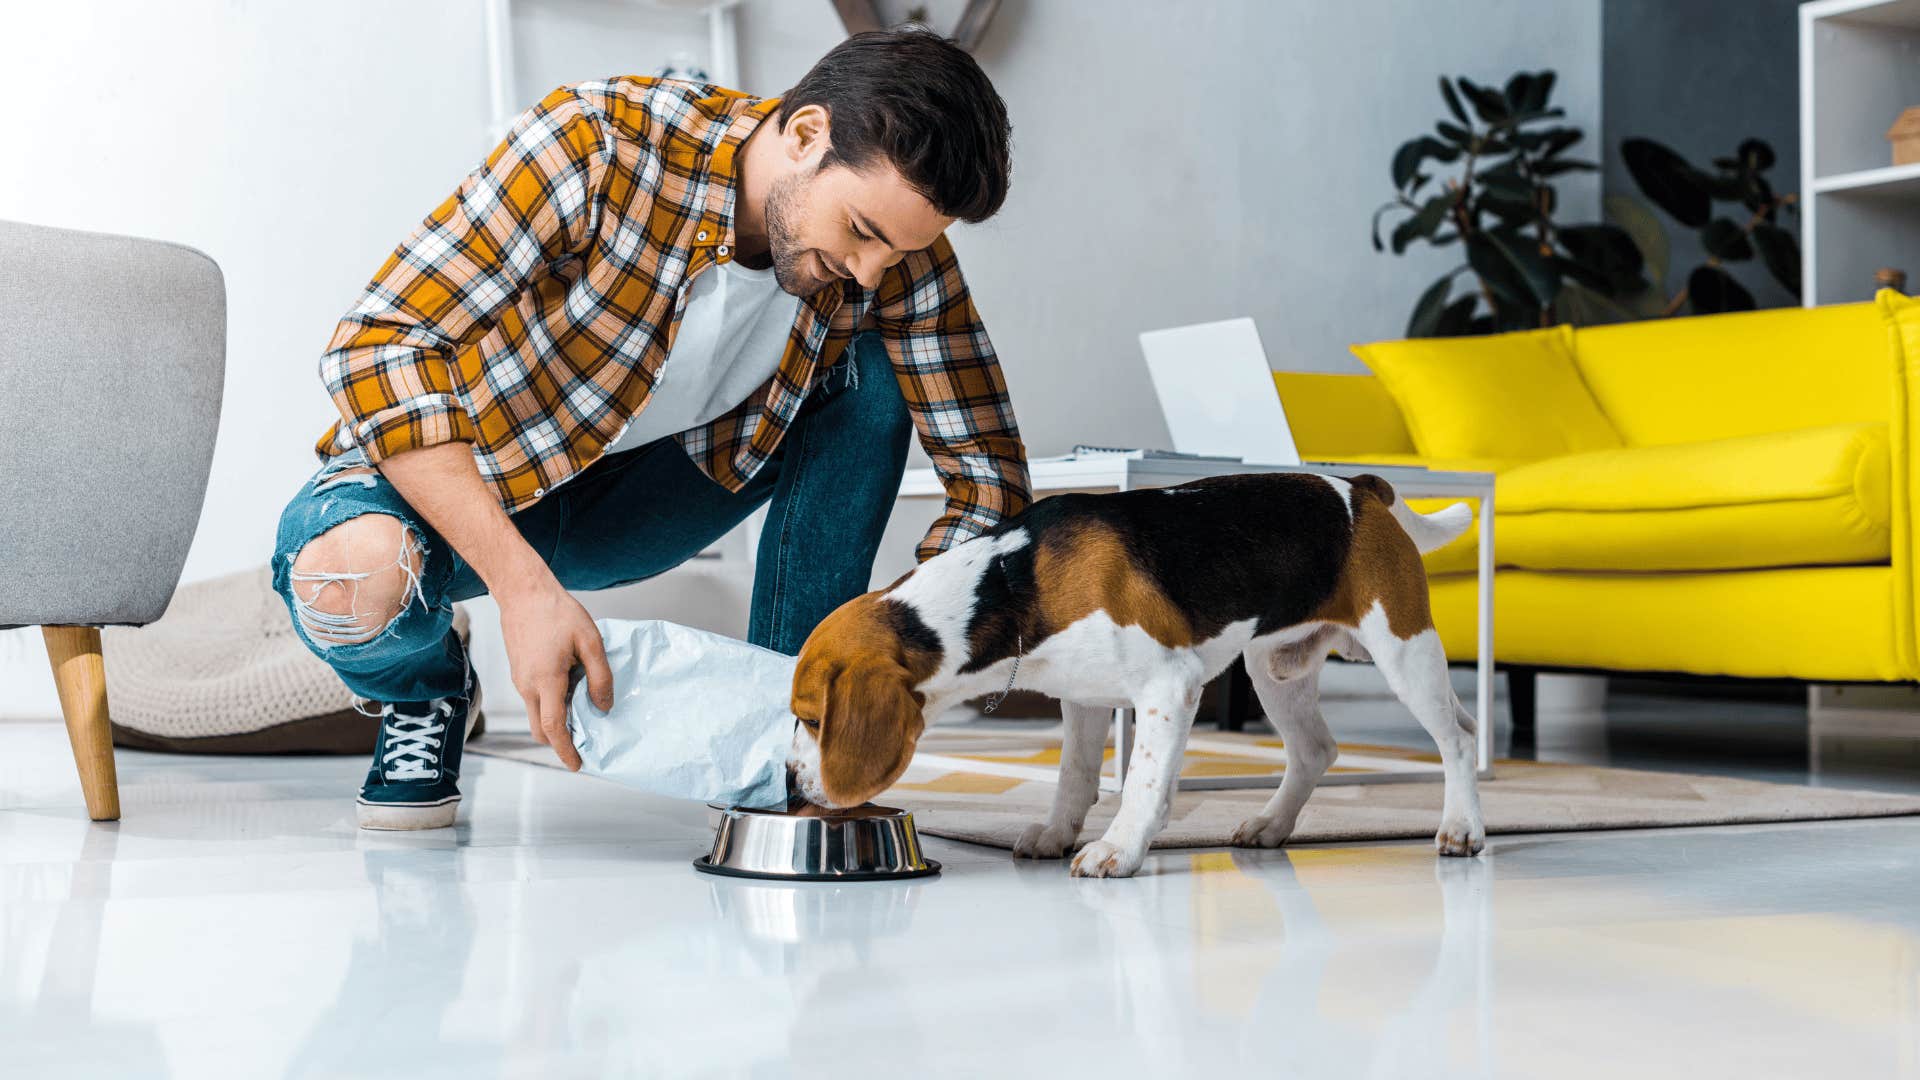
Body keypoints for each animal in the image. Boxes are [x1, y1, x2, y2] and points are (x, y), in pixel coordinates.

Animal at [787, 470, 1474, 876]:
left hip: (1403, 650)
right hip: (1273, 670)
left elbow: (1142, 780)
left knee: (1458, 739)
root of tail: (1358, 486)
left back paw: (1462, 828)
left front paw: (1119, 846)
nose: (791, 783)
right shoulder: (1083, 696)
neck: (1012, 583)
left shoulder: (1171, 687)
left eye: (813, 720)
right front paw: (1057, 833)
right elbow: (1073, 778)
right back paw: (1272, 825)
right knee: (1317, 750)